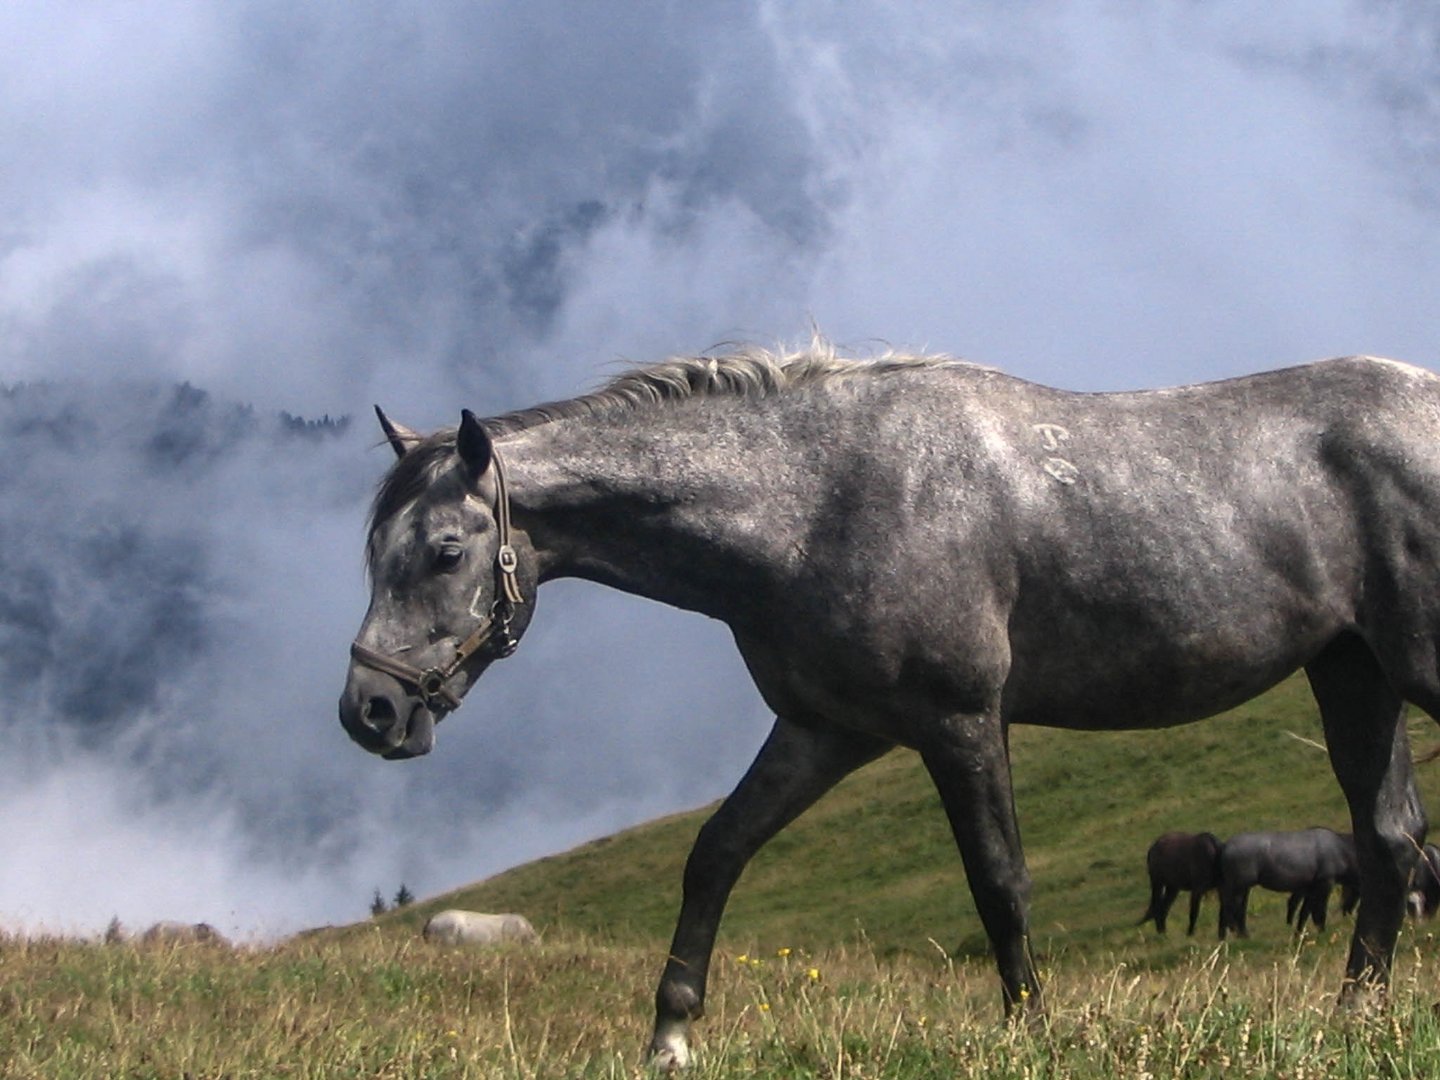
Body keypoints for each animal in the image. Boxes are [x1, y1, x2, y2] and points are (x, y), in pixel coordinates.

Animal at [1215, 829, 1359, 938]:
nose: (1348, 915)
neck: (1341, 849)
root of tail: (1224, 847)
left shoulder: (1310, 888)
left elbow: (1304, 913)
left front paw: (1298, 934)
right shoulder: (1325, 883)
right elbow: (1319, 912)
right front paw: (1322, 932)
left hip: (1239, 887)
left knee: (1230, 910)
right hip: (1239, 886)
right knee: (1230, 910)